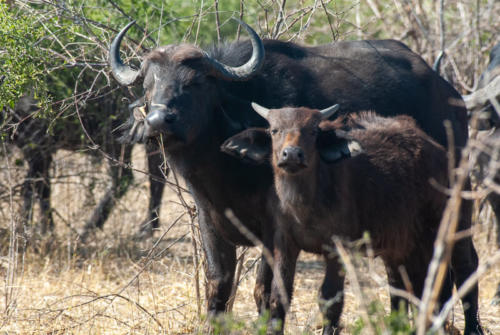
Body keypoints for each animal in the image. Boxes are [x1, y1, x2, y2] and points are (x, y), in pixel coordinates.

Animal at [110, 19, 484, 334]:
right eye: (149, 84)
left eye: (195, 82)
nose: (158, 120)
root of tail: (449, 93)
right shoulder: (210, 219)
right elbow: (219, 286)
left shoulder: (274, 230)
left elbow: (264, 291)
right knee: (404, 275)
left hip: (455, 201)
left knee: (465, 262)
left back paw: (471, 327)